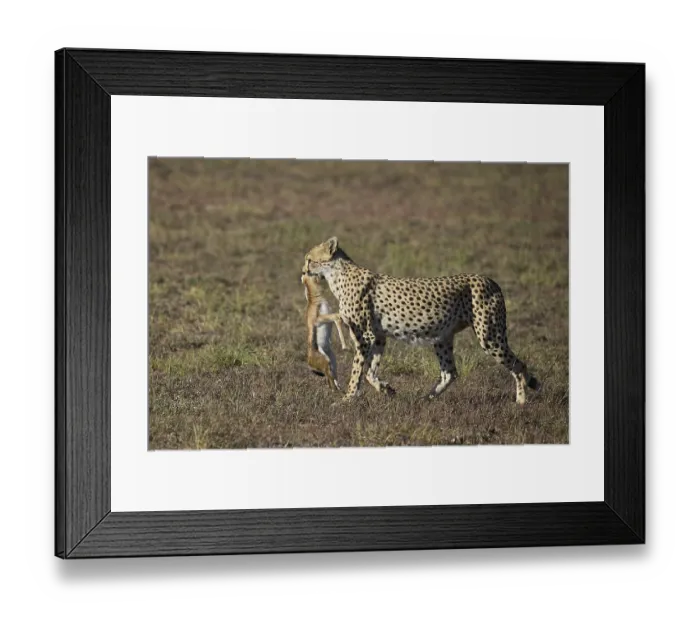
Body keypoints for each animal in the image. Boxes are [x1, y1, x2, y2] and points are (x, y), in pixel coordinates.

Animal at [301, 237, 541, 404]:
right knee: (450, 372)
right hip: (443, 338)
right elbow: (369, 372)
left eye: (310, 259)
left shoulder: (366, 336)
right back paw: (426, 399)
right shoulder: (377, 337)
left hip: (489, 336)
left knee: (518, 364)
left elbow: (357, 370)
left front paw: (348, 398)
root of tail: (491, 280)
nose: (303, 271)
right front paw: (387, 390)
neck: (338, 275)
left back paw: (520, 402)